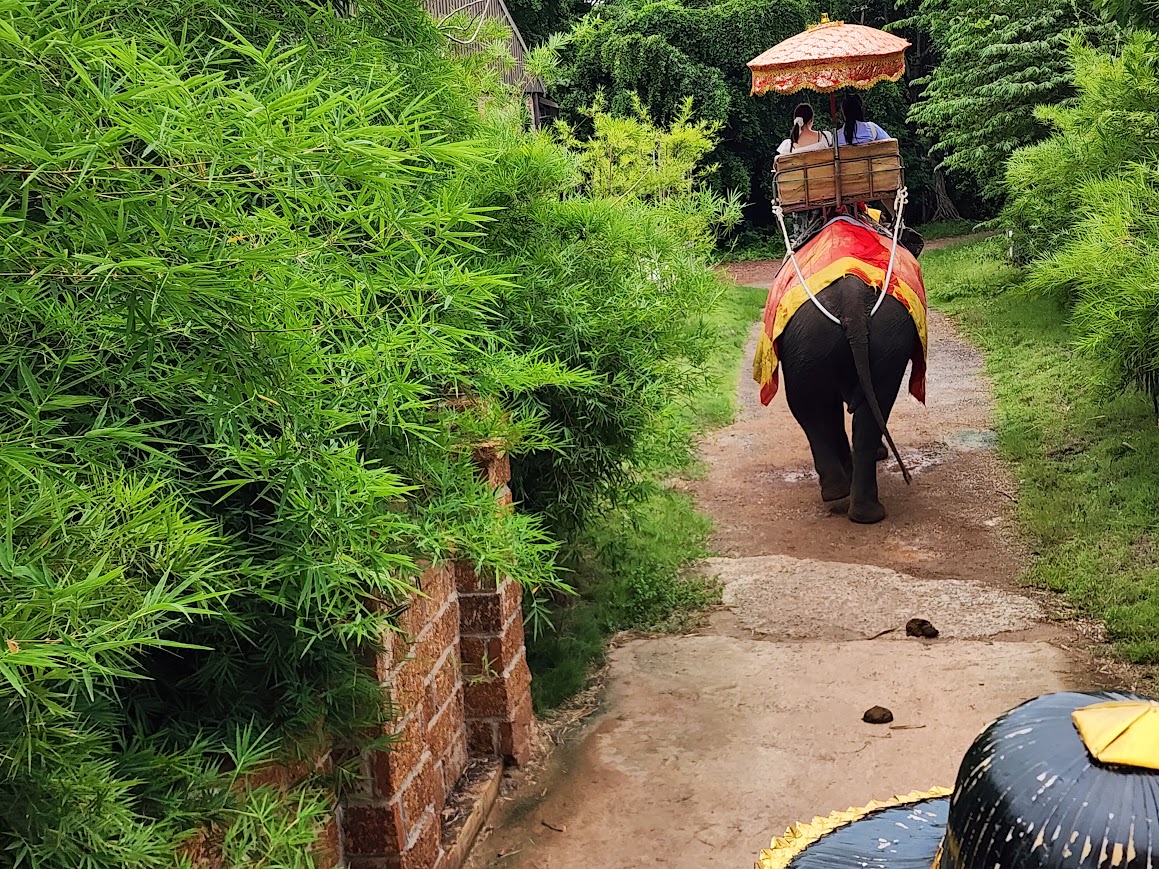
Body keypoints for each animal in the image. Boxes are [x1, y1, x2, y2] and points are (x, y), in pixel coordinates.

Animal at [777, 273, 918, 524]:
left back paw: (839, 494)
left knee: (809, 411)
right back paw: (859, 507)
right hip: (885, 342)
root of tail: (851, 298)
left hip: (810, 342)